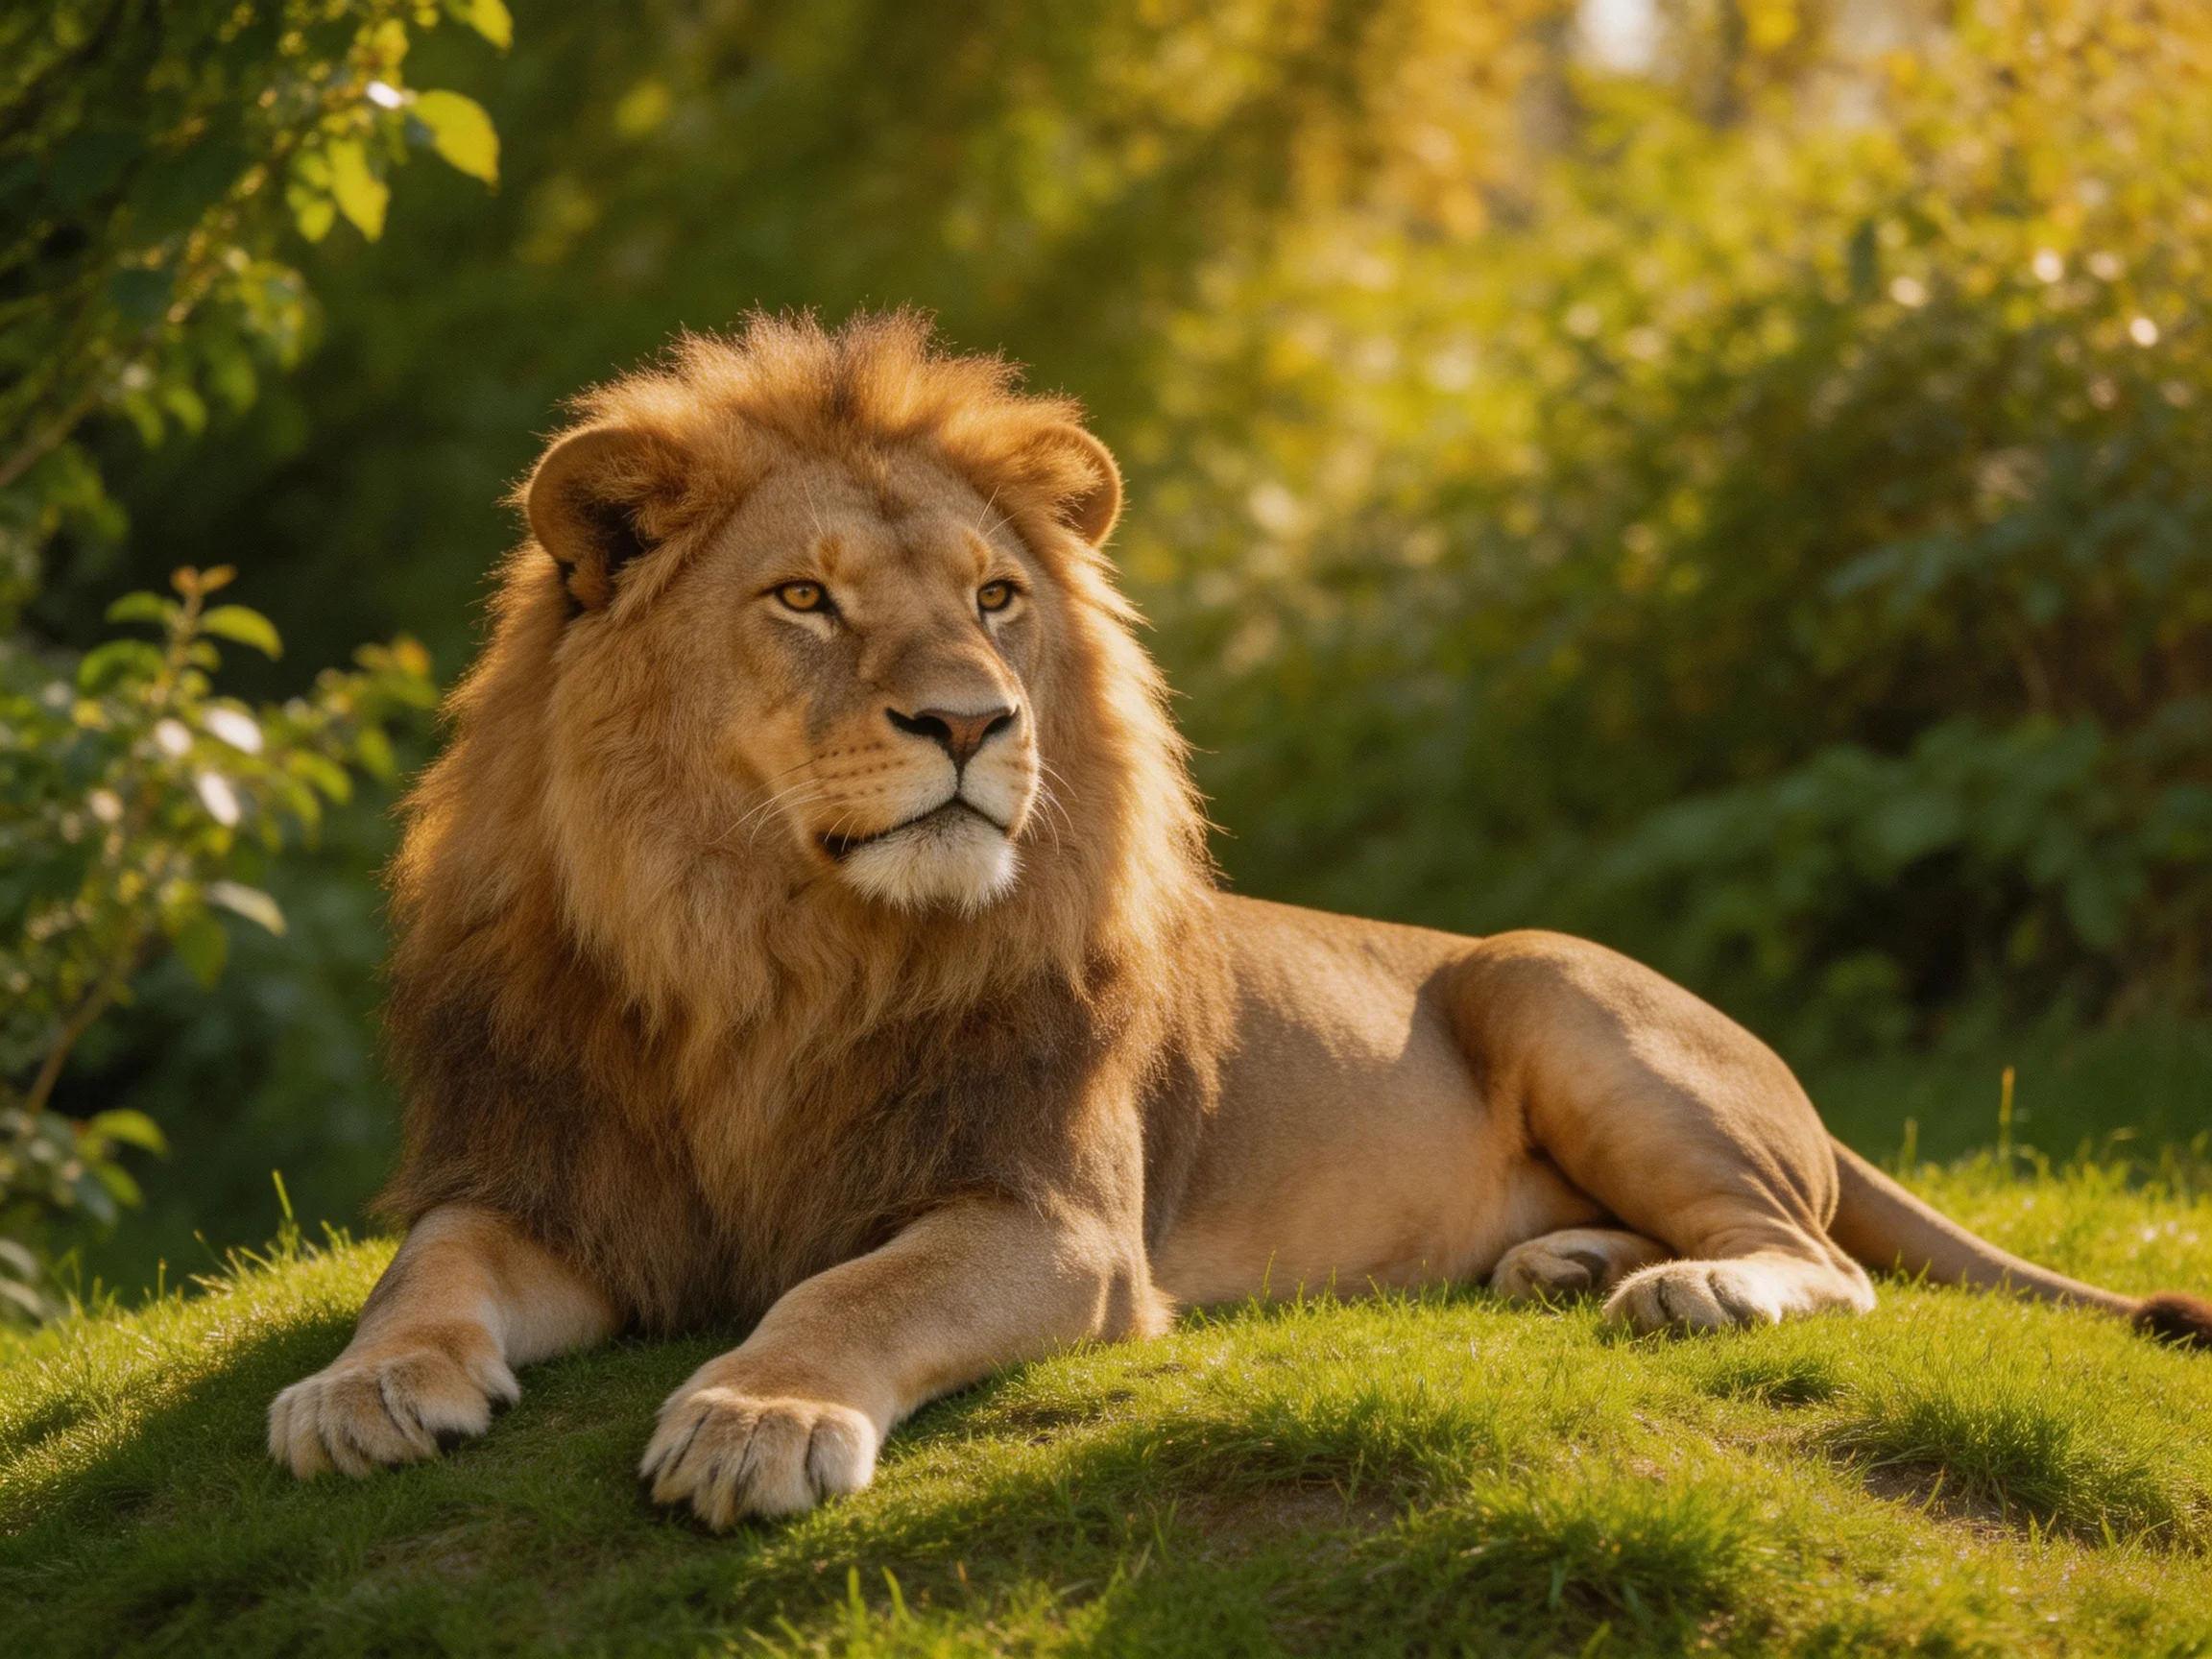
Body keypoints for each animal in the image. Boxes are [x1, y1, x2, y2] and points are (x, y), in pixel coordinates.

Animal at [269, 311, 2212, 1527]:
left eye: (995, 597)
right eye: (803, 600)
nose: (975, 720)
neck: (768, 952)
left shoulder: (1053, 1223)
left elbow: (853, 1289)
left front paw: (759, 1414)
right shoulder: (558, 1176)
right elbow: (426, 1267)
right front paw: (363, 1390)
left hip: (1544, 981)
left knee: (1821, 1255)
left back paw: (1685, 1290)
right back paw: (1568, 1262)